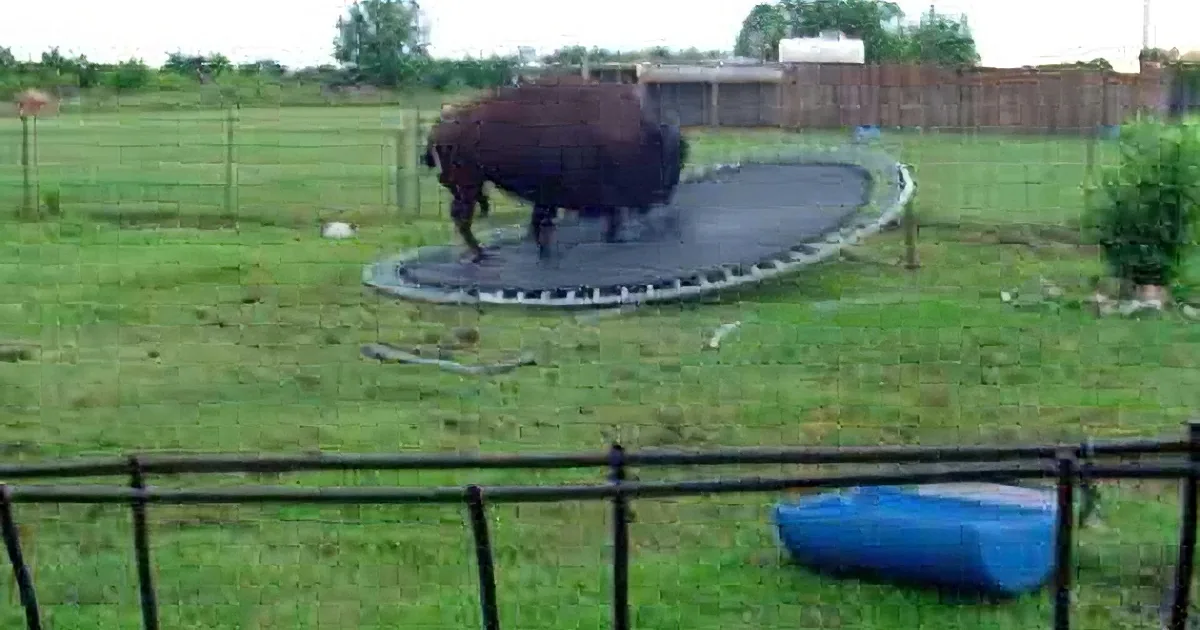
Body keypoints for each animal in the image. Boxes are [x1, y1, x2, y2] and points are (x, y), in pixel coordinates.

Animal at [422, 78, 689, 262]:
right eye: (667, 159)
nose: (665, 195)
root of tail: (440, 126)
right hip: (468, 184)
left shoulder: (550, 194)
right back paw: (481, 254)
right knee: (462, 216)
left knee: (461, 215)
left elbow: (544, 218)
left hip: (468, 186)